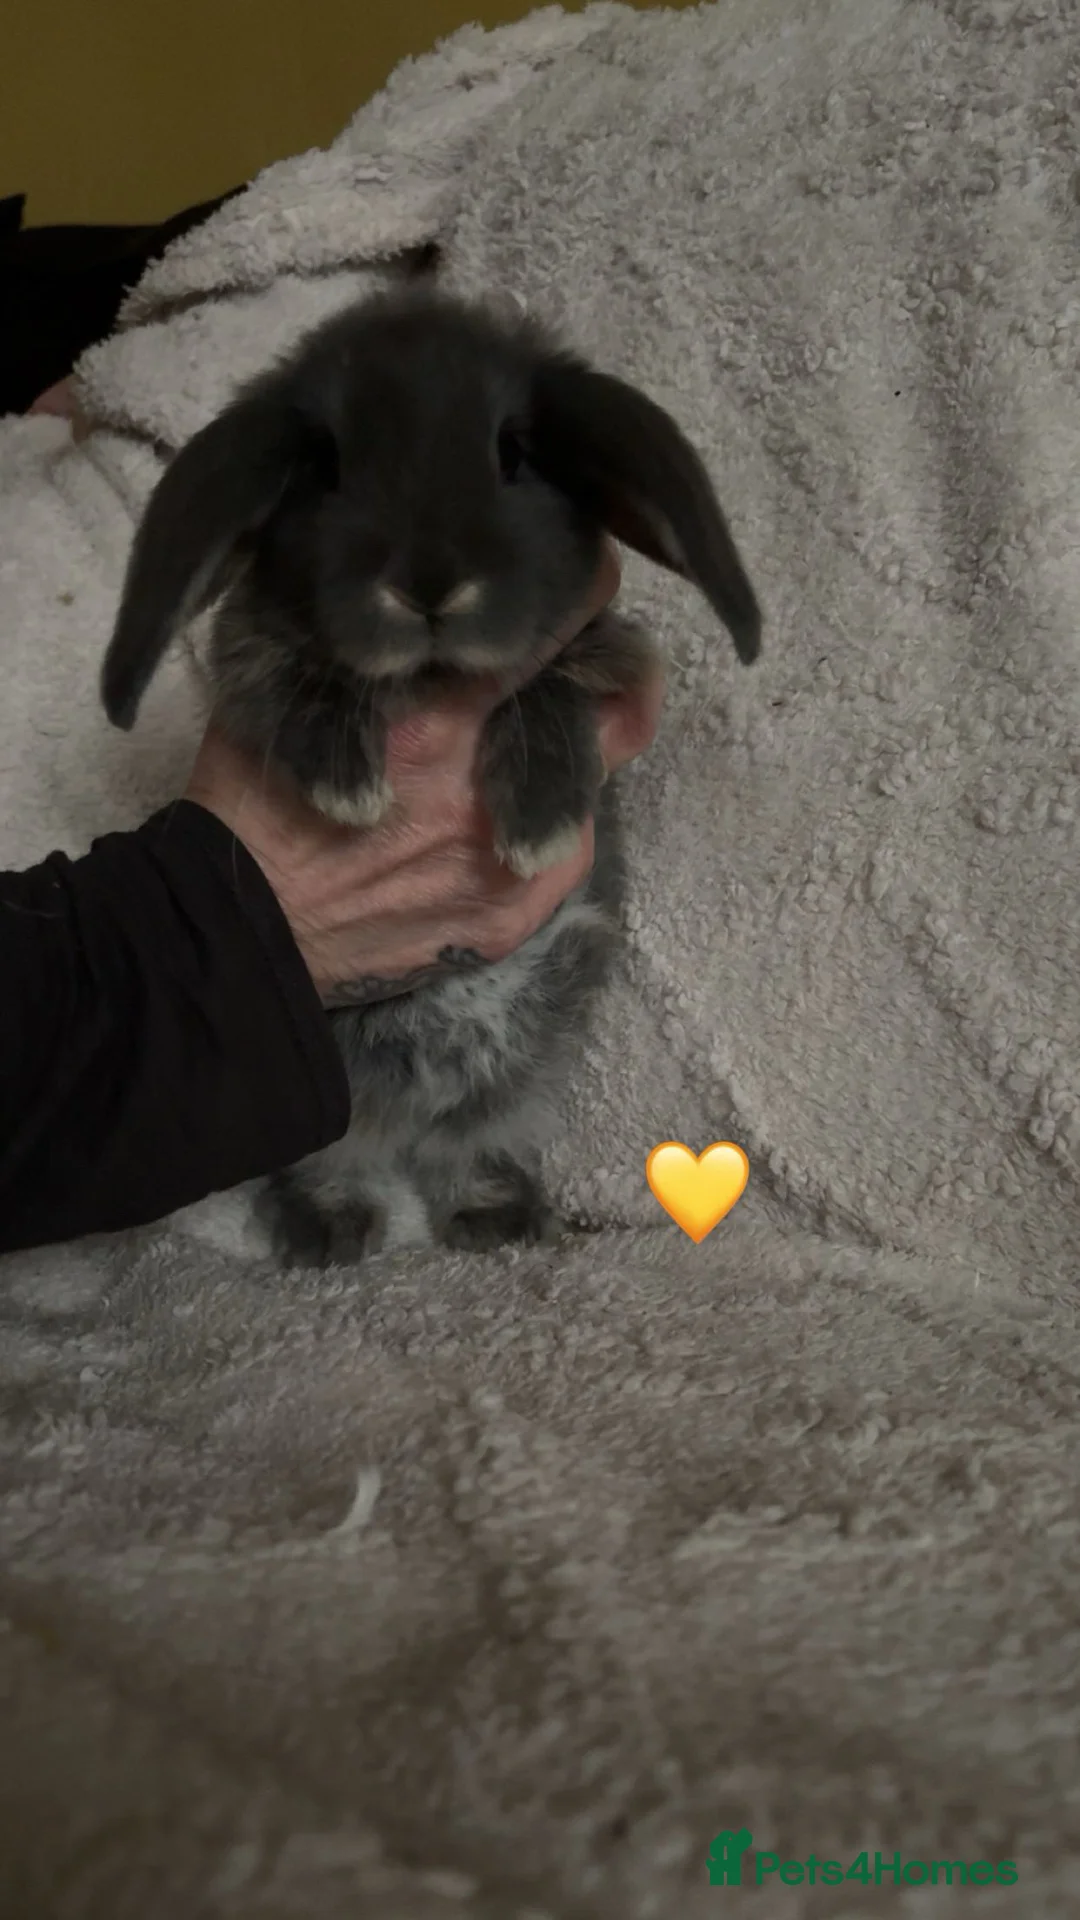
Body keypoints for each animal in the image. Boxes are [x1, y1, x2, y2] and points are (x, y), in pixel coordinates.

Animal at [100, 286, 761, 1269]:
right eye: (327, 470)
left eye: (513, 454)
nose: (428, 585)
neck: (431, 674)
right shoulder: (251, 665)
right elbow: (299, 680)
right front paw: (349, 785)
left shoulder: (603, 654)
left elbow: (545, 689)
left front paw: (537, 824)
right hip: (330, 1105)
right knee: (336, 1160)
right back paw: (332, 1233)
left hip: (518, 1072)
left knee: (466, 1148)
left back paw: (496, 1220)